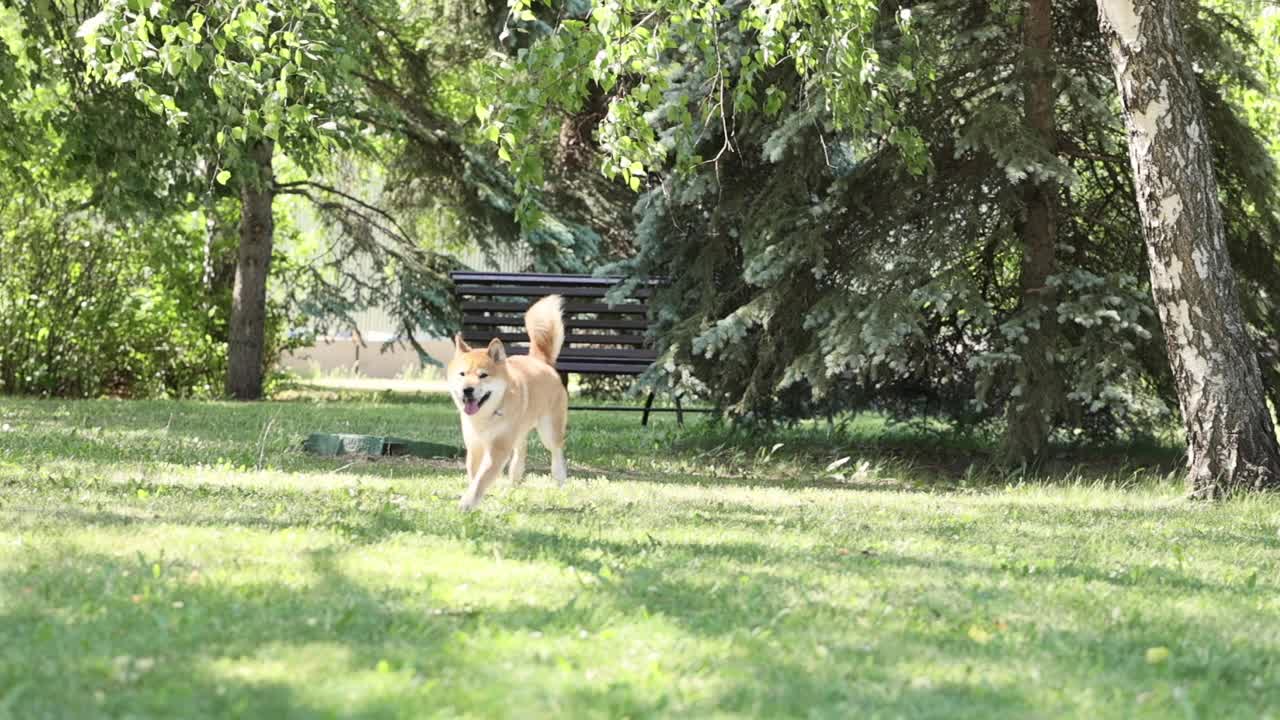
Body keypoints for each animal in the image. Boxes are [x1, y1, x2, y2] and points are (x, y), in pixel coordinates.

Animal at [450, 294, 570, 507]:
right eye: (462, 374)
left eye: (483, 375)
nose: (467, 390)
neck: (486, 416)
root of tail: (540, 361)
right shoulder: (475, 446)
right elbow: (474, 474)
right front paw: (475, 498)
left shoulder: (498, 447)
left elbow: (482, 477)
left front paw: (467, 502)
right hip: (519, 431)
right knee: (521, 450)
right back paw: (514, 481)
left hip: (549, 430)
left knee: (556, 451)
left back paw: (559, 479)